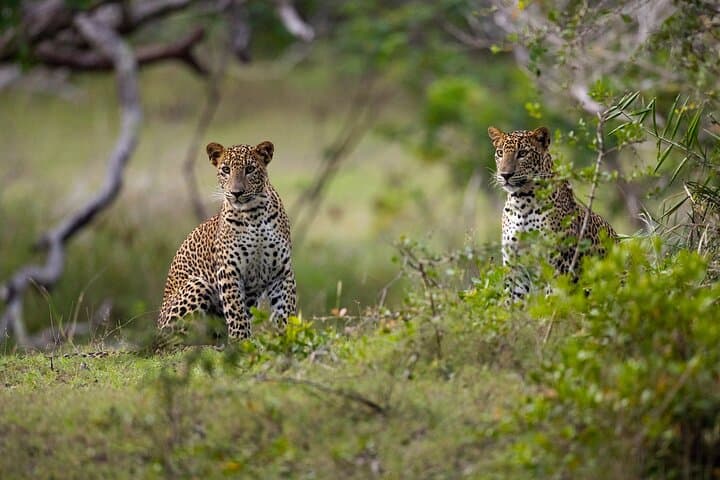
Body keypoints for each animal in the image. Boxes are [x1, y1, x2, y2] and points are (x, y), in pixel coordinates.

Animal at [157, 140, 297, 340]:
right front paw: (241, 341)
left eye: (249, 169)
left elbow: (286, 310)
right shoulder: (229, 270)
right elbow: (236, 312)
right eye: (226, 169)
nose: (236, 192)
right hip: (197, 285)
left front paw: (290, 337)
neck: (254, 214)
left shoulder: (281, 271)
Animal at [488, 126, 617, 299]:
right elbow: (511, 300)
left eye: (522, 153)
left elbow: (552, 300)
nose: (505, 175)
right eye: (500, 153)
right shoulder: (515, 266)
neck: (522, 203)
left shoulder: (558, 266)